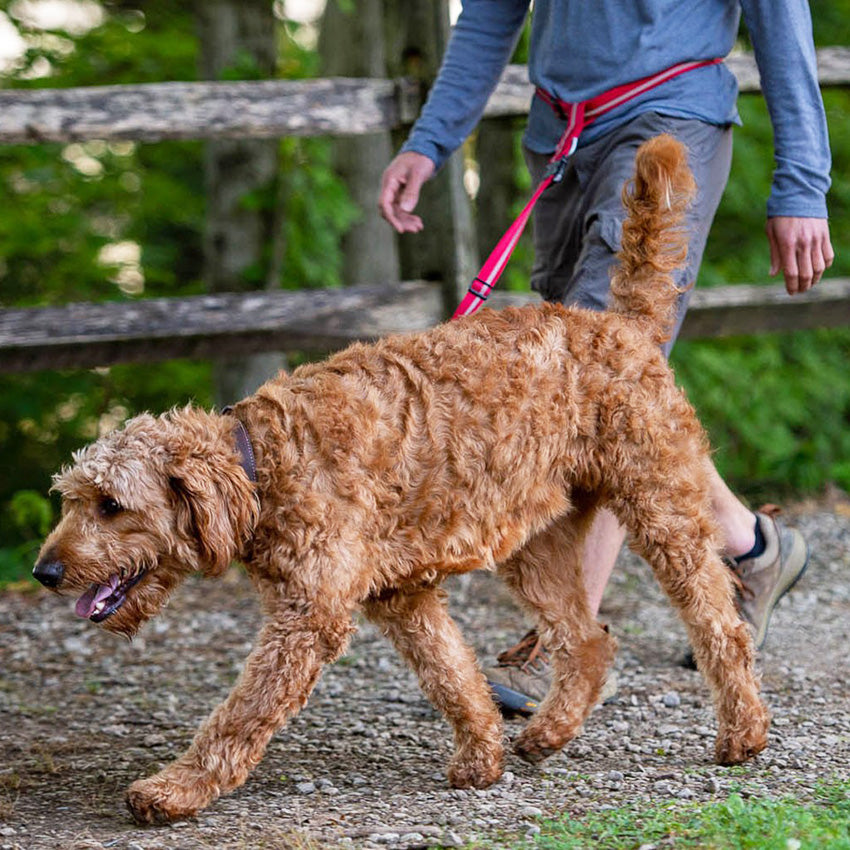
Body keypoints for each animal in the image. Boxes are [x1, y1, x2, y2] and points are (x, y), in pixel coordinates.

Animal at [33, 137, 764, 820]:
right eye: (69, 500)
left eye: (110, 505)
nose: (44, 572)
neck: (262, 463)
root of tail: (622, 324)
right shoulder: (401, 596)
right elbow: (454, 676)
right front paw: (481, 758)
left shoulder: (309, 617)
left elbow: (239, 715)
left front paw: (176, 789)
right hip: (537, 545)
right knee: (586, 641)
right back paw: (548, 733)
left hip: (660, 511)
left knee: (720, 627)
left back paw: (744, 735)